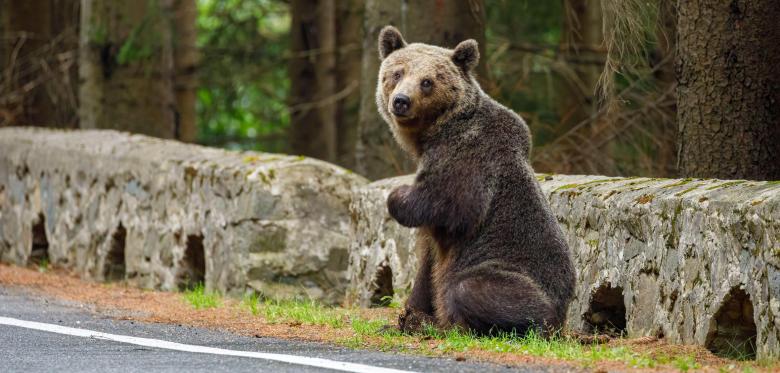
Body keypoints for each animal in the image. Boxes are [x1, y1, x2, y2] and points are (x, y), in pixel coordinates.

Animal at [374, 25, 576, 334]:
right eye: (397, 72)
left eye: (427, 81)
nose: (401, 101)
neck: (434, 132)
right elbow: (427, 263)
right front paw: (409, 316)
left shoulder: (469, 154)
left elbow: (452, 204)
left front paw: (397, 195)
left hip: (513, 274)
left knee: (470, 287)